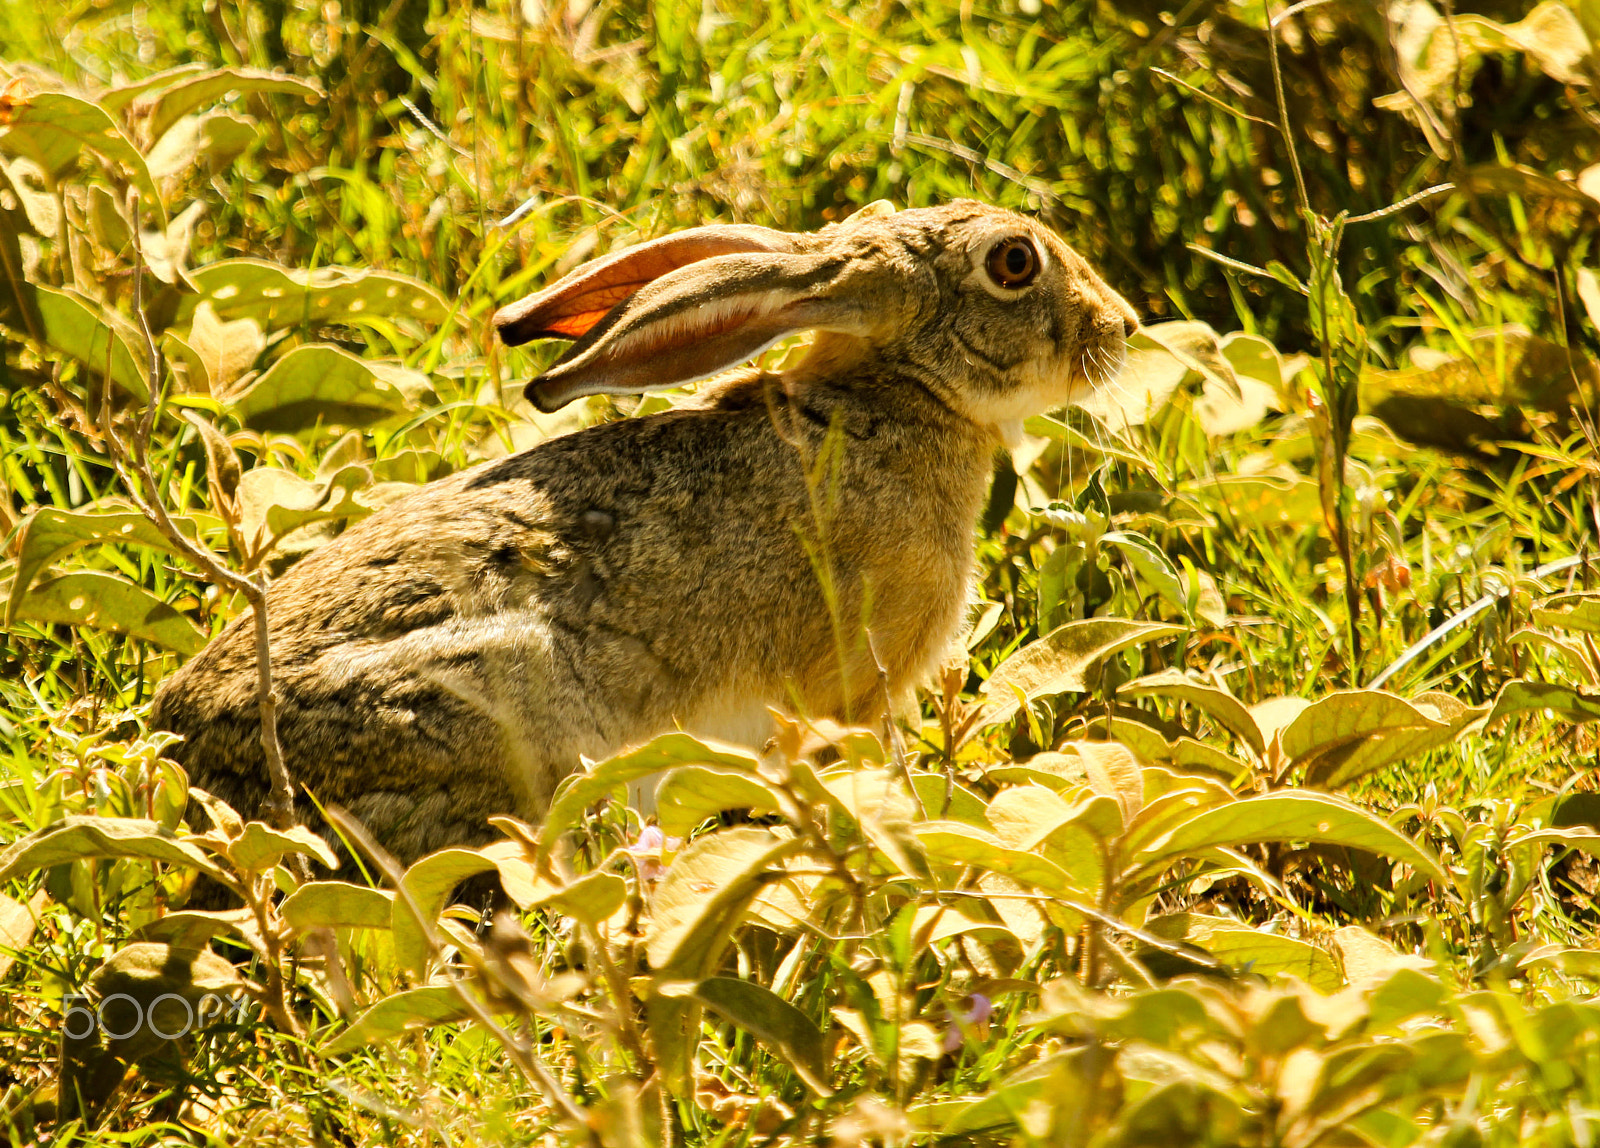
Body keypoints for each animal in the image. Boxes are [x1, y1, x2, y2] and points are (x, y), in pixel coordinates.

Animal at [150, 199, 1138, 864]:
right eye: (1014, 263)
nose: (1121, 325)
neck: (899, 397)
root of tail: (196, 768)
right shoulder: (852, 688)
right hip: (511, 709)